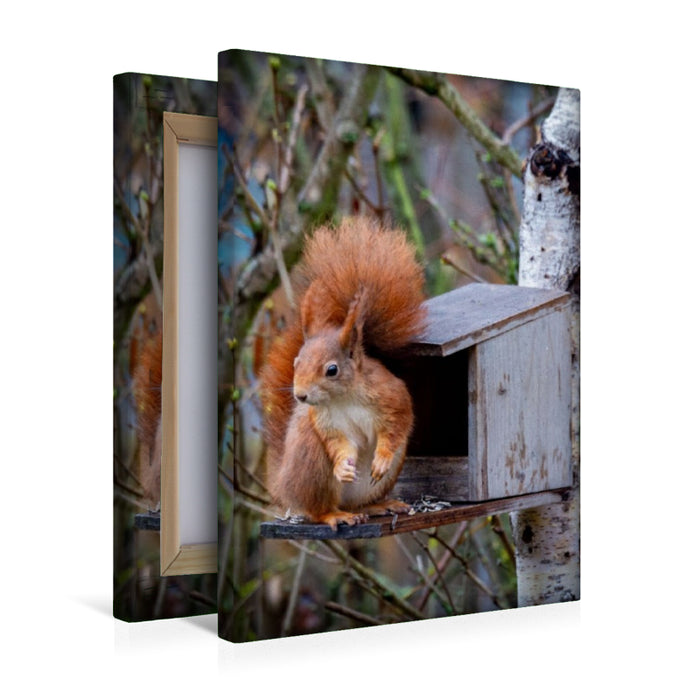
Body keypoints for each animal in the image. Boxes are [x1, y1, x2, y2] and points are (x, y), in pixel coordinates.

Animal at [259, 217, 427, 529]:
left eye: (331, 369)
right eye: (296, 363)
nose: (300, 396)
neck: (343, 398)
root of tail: (283, 486)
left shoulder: (392, 397)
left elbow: (396, 427)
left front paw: (381, 457)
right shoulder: (327, 423)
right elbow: (339, 445)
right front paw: (342, 467)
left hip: (379, 481)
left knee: (356, 502)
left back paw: (378, 506)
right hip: (313, 464)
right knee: (318, 510)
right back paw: (335, 514)